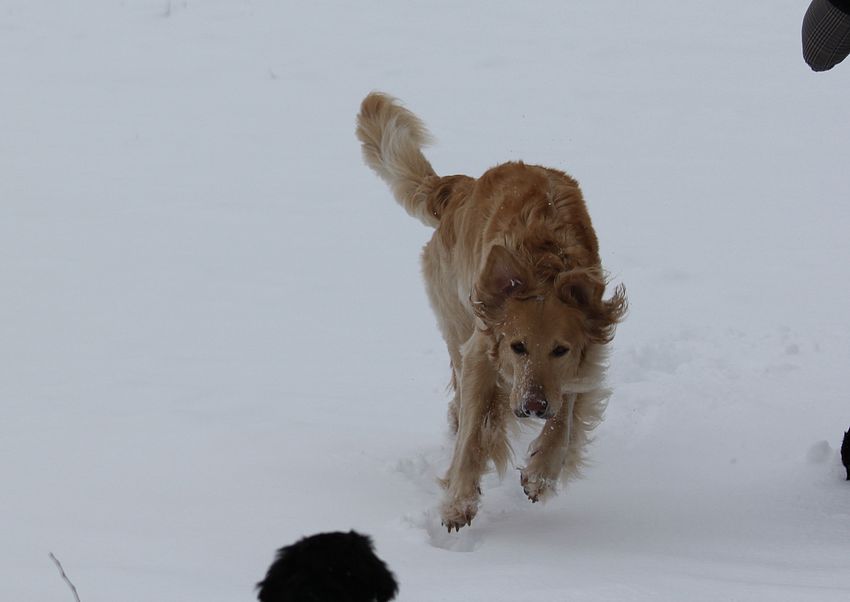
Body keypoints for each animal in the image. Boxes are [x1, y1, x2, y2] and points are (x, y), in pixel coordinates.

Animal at [356, 92, 626, 531]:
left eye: (561, 350)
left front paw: (541, 474)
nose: (533, 407)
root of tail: (460, 187)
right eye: (517, 347)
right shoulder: (483, 351)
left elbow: (565, 420)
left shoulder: (583, 361)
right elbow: (472, 438)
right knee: (460, 395)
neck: (543, 267)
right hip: (455, 319)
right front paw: (458, 503)